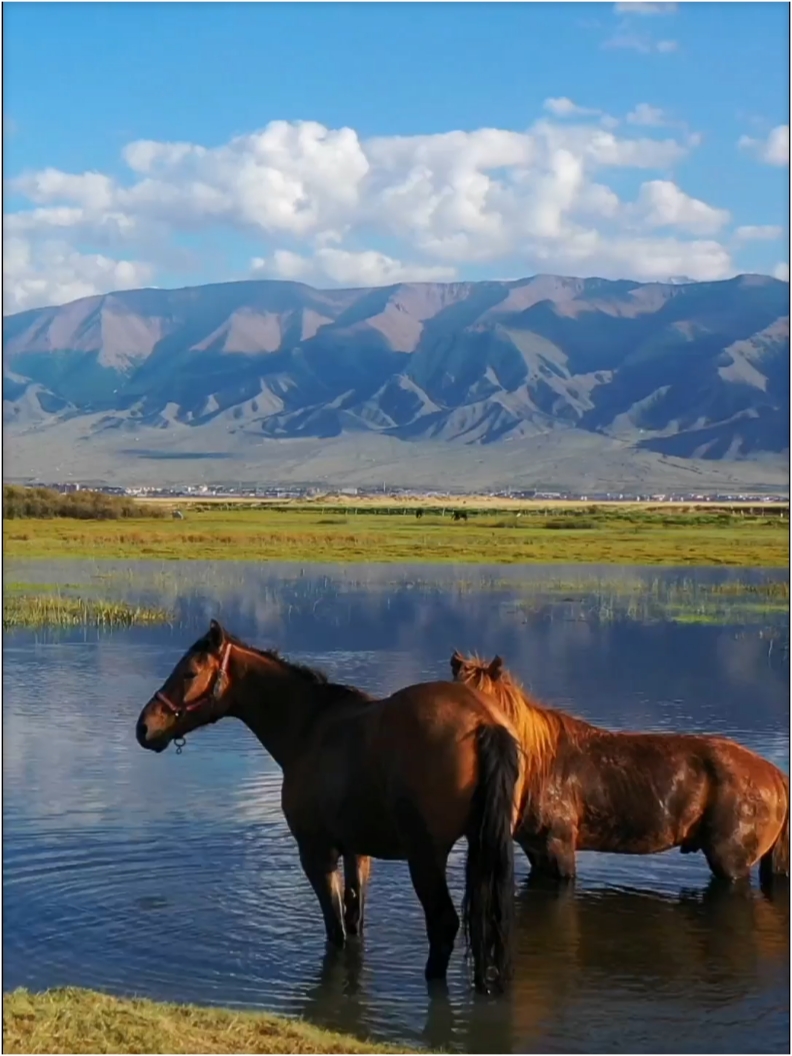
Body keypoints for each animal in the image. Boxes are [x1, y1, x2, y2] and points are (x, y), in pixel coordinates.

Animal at [136, 616, 528, 988]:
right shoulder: (358, 852)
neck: (309, 726)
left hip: (426, 856)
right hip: (481, 847)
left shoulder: (317, 854)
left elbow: (336, 929)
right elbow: (354, 921)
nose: (144, 727)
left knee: (444, 923)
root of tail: (484, 721)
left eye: (190, 672)